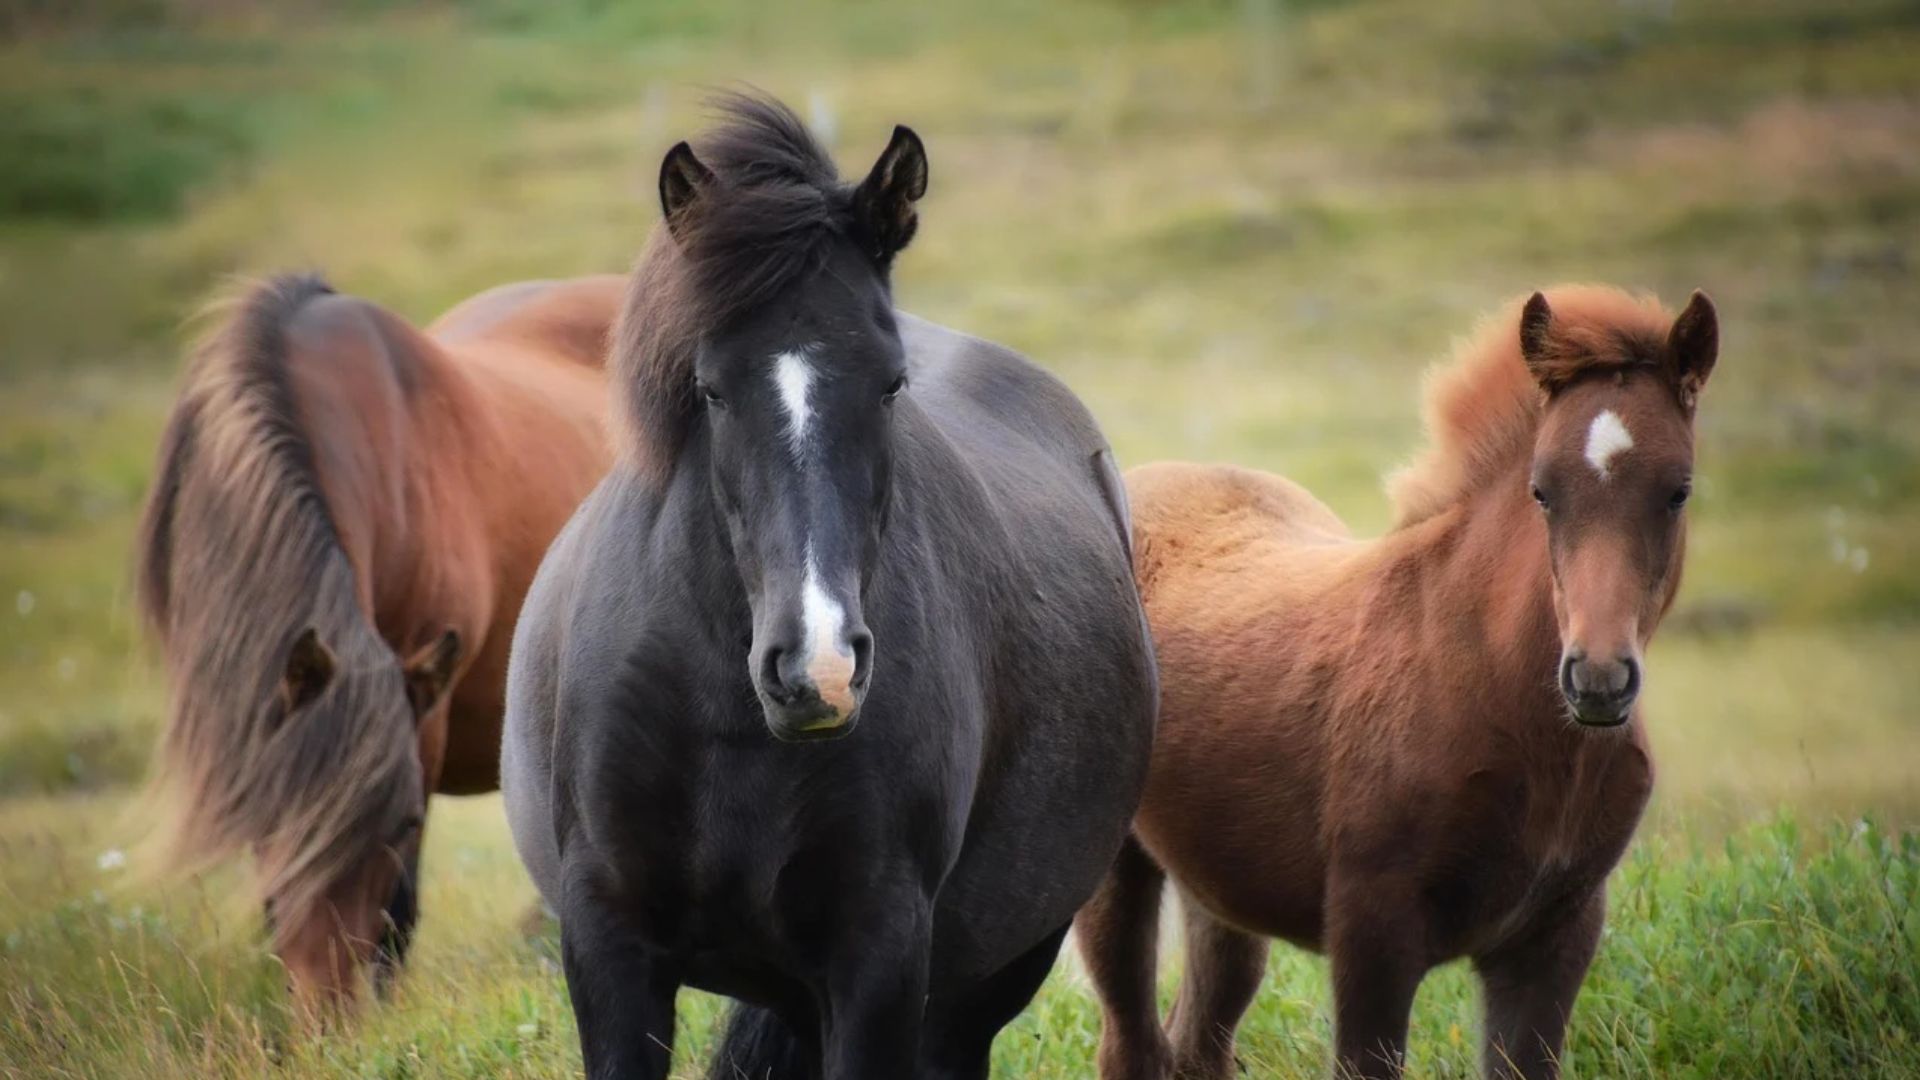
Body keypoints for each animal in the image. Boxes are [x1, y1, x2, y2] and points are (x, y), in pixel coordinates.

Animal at [500, 94, 1158, 1080]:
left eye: (890, 384)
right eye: (711, 388)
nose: (819, 670)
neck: (724, 719)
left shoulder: (877, 955)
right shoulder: (609, 945)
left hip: (989, 975)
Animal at [1077, 286, 1719, 1080]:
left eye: (1678, 492)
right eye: (1542, 491)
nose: (1597, 680)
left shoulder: (1555, 938)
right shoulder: (1372, 932)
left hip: (1217, 887)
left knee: (1199, 1040)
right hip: (1114, 871)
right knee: (1130, 1040)